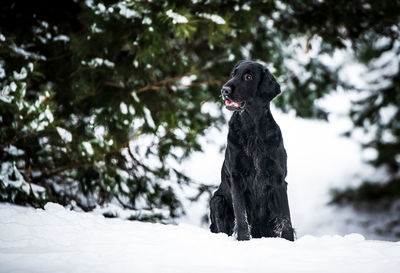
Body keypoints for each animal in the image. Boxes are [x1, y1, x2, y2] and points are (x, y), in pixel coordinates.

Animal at [209, 60, 294, 240]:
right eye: (233, 74)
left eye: (248, 77)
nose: (224, 90)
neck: (252, 128)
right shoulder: (236, 177)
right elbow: (241, 215)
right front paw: (243, 239)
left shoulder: (278, 178)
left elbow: (285, 218)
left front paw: (289, 241)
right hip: (217, 200)